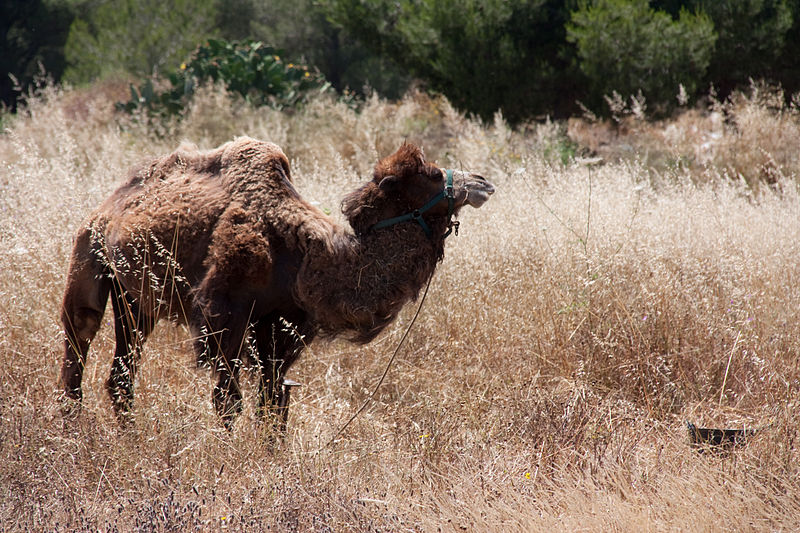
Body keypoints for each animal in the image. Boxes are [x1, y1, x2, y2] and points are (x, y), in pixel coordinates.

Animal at [59, 136, 494, 428]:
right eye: (434, 174)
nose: (484, 182)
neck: (305, 256)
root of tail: (107, 208)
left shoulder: (282, 326)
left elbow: (274, 402)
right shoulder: (225, 314)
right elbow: (228, 400)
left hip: (135, 299)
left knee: (121, 377)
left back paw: (128, 437)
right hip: (89, 258)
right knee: (80, 336)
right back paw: (73, 430)